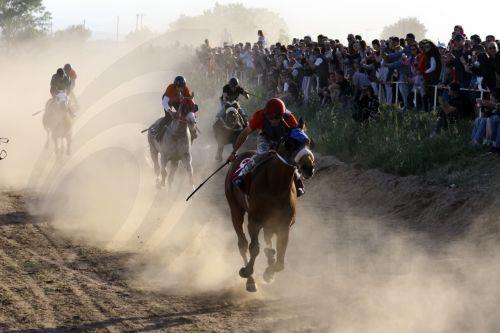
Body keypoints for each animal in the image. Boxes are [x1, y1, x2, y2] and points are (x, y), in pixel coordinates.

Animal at [225, 122, 314, 290]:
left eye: (308, 142)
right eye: (290, 143)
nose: (308, 167)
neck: (275, 186)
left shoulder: (284, 224)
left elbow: (280, 260)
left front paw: (269, 273)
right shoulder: (254, 221)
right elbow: (254, 248)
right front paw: (247, 272)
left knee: (268, 241)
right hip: (235, 209)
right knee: (242, 243)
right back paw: (250, 279)